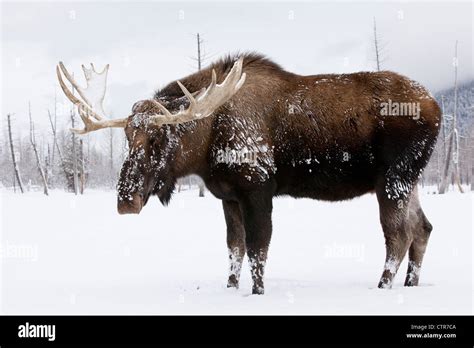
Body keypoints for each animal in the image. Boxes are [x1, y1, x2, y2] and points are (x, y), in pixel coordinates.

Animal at [56, 53, 440, 294]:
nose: (126, 199)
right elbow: (234, 247)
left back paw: (383, 286)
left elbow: (258, 248)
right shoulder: (228, 196)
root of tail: (437, 108)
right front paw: (230, 287)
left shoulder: (258, 188)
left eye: (158, 136)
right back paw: (410, 284)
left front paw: (257, 292)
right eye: (127, 136)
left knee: (398, 234)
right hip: (410, 180)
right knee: (423, 227)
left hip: (393, 178)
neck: (208, 143)